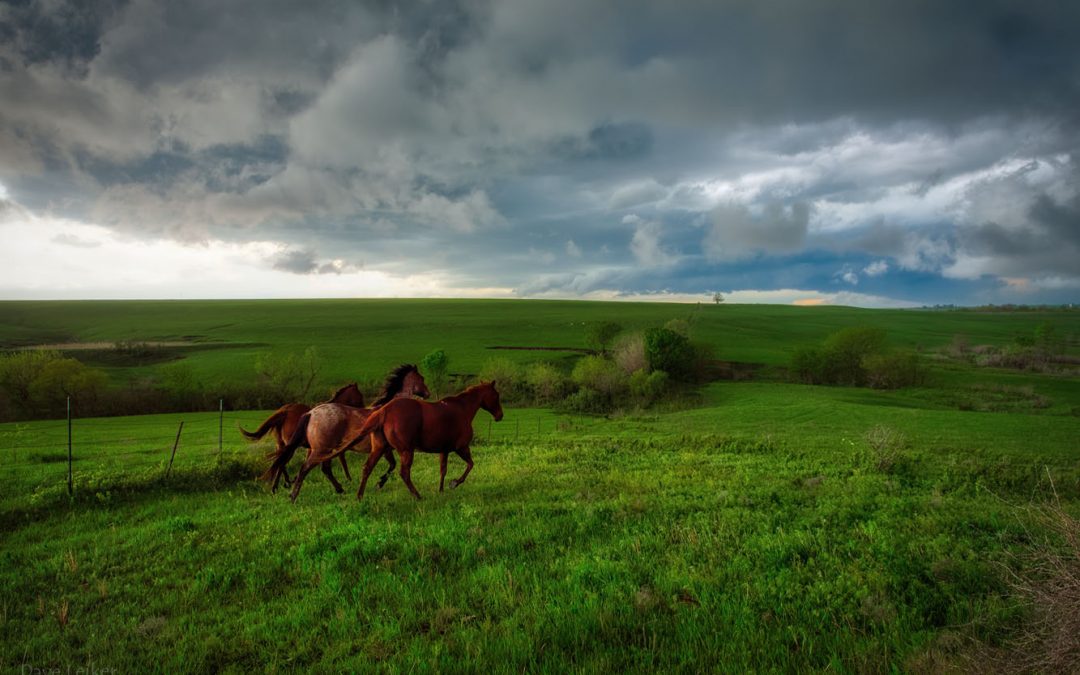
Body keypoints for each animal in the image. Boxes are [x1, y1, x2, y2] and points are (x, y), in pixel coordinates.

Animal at [261, 365, 429, 492]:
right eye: (422, 379)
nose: (428, 393)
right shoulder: (384, 449)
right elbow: (391, 465)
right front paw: (378, 483)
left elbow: (390, 465)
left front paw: (376, 482)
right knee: (300, 465)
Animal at [287, 380, 505, 501]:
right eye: (496, 396)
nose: (500, 416)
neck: (461, 409)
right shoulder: (461, 447)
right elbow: (470, 466)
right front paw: (453, 484)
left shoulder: (444, 449)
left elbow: (443, 470)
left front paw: (442, 489)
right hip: (405, 450)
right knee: (403, 472)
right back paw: (416, 496)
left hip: (377, 448)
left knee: (365, 468)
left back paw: (358, 495)